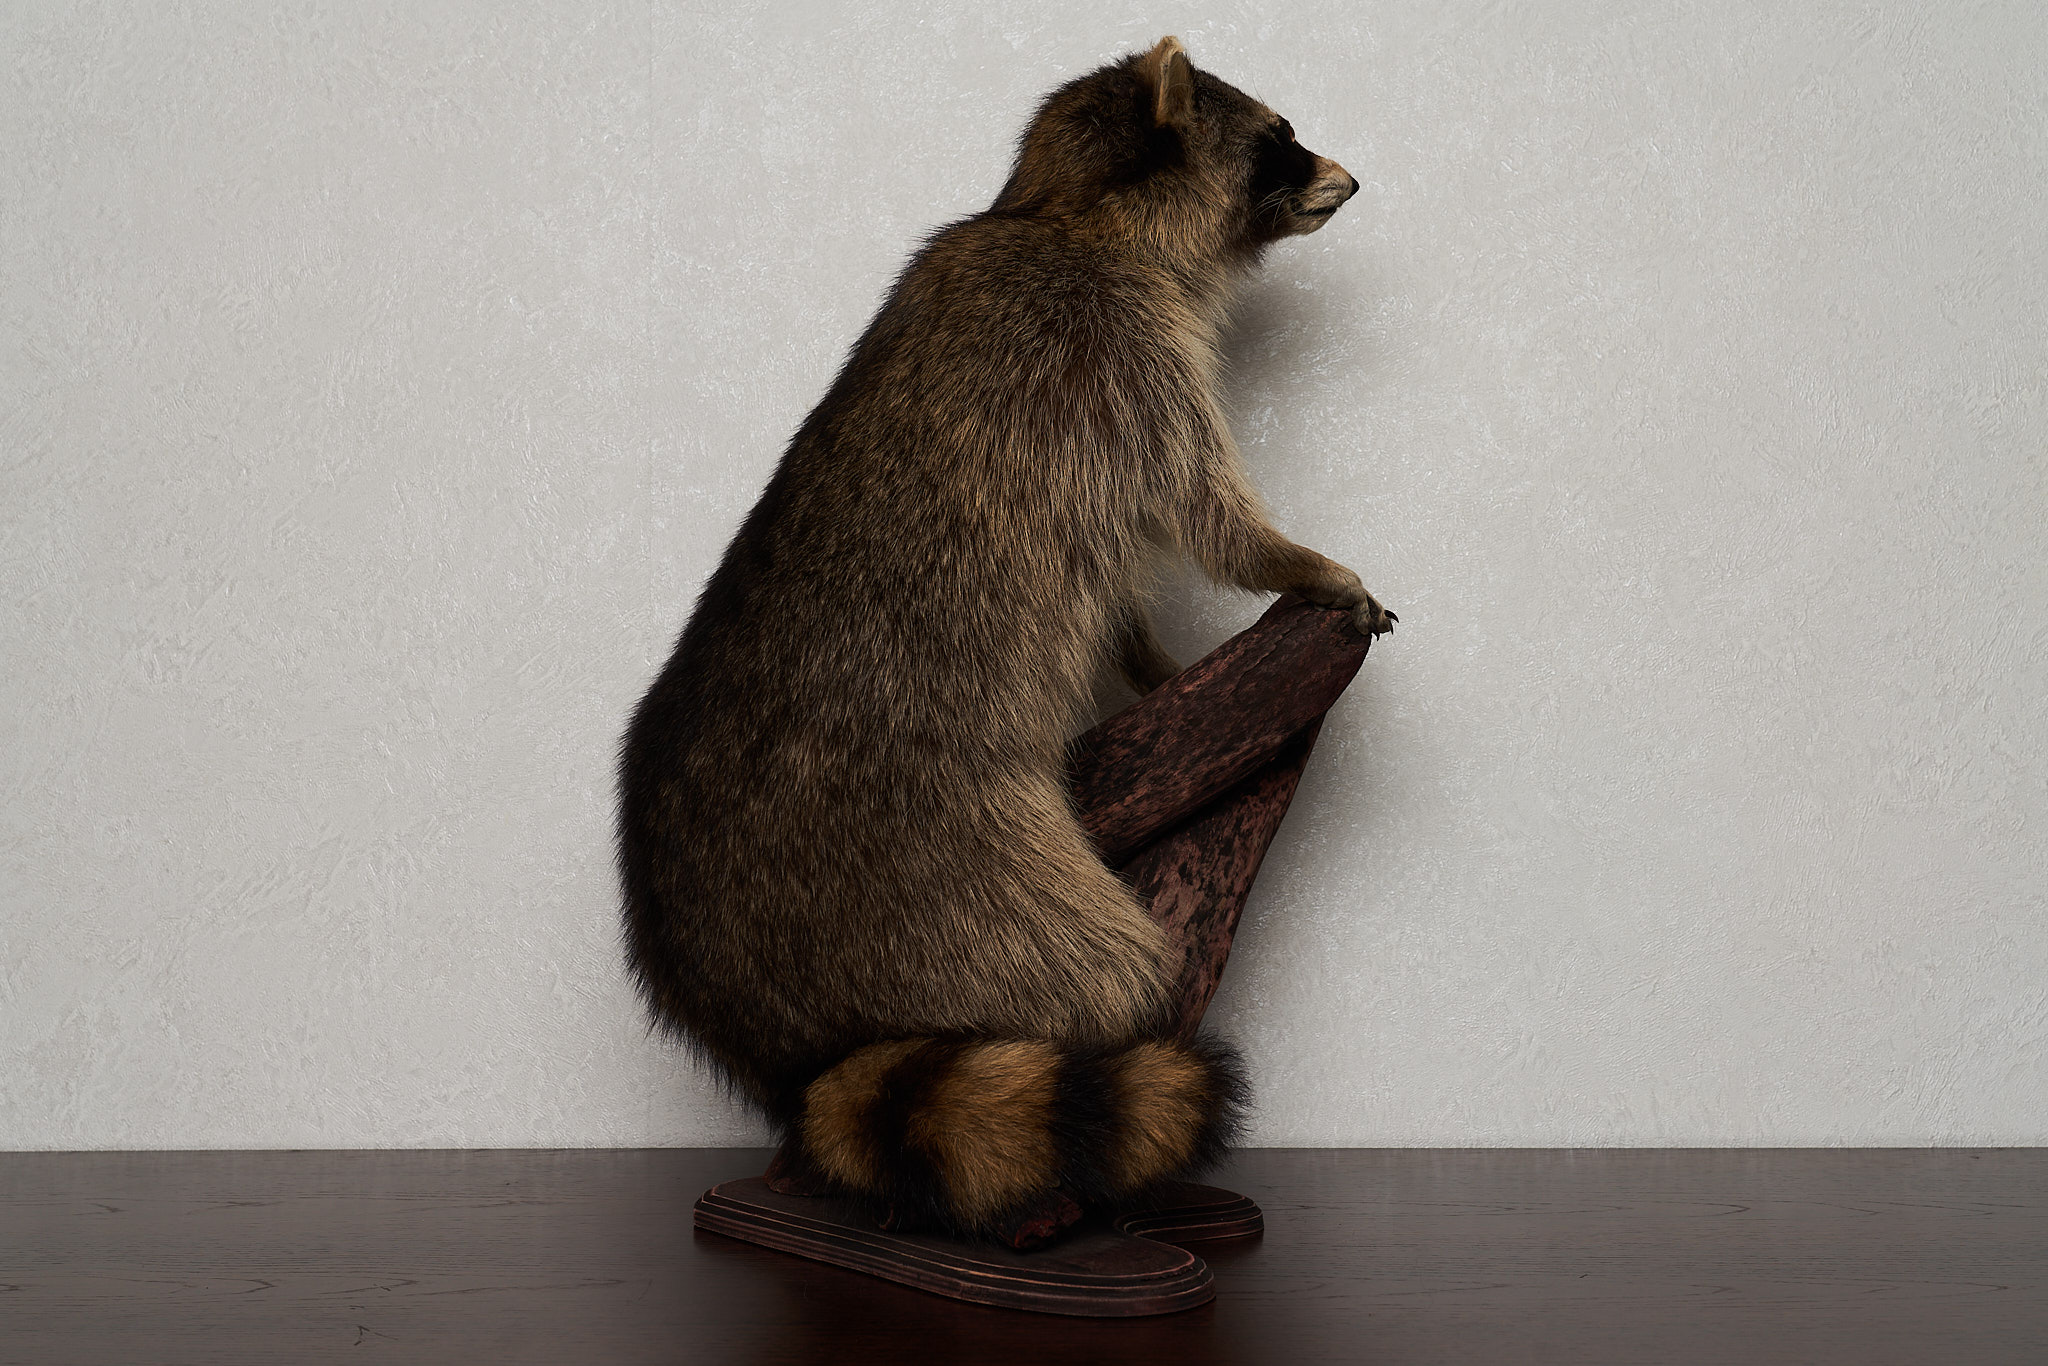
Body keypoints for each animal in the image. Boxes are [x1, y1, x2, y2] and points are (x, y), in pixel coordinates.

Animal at [618, 36, 1392, 1235]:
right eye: (1278, 140)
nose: (1350, 181)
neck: (1061, 211)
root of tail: (775, 1038)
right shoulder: (1121, 353)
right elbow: (1203, 511)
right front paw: (1302, 563)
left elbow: (1123, 589)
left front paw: (1156, 663)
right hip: (960, 876)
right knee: (1110, 971)